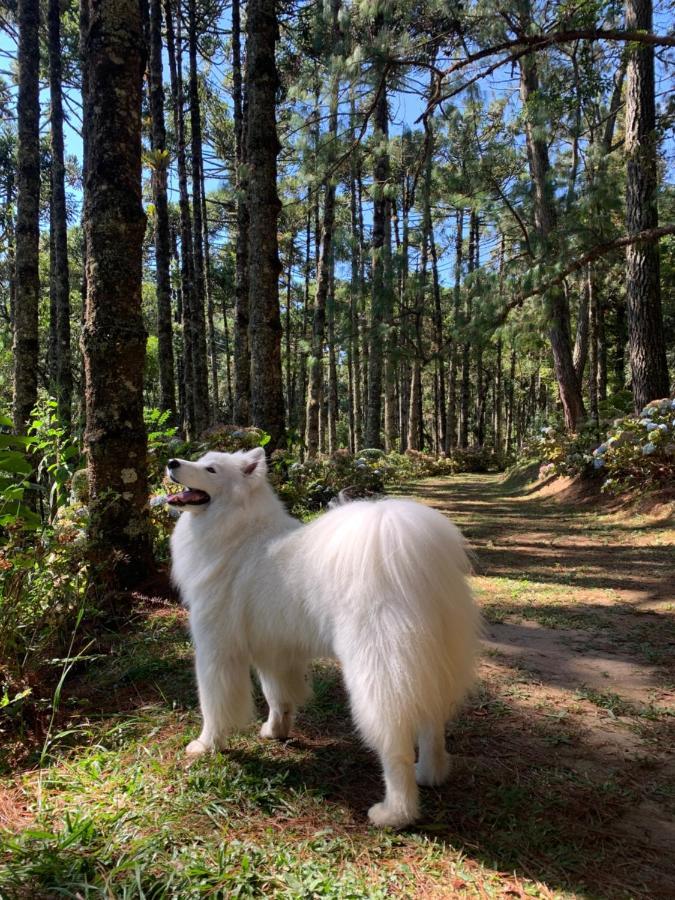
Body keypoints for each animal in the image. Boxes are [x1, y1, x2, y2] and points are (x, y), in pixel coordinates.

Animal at [168, 446, 480, 828]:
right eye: (198, 458)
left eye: (210, 469)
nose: (171, 463)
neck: (239, 532)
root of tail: (415, 566)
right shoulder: (276, 652)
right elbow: (278, 698)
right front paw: (275, 732)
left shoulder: (215, 649)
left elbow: (214, 706)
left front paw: (205, 745)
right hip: (432, 662)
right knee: (432, 722)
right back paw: (430, 774)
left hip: (377, 674)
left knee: (395, 746)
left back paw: (394, 813)